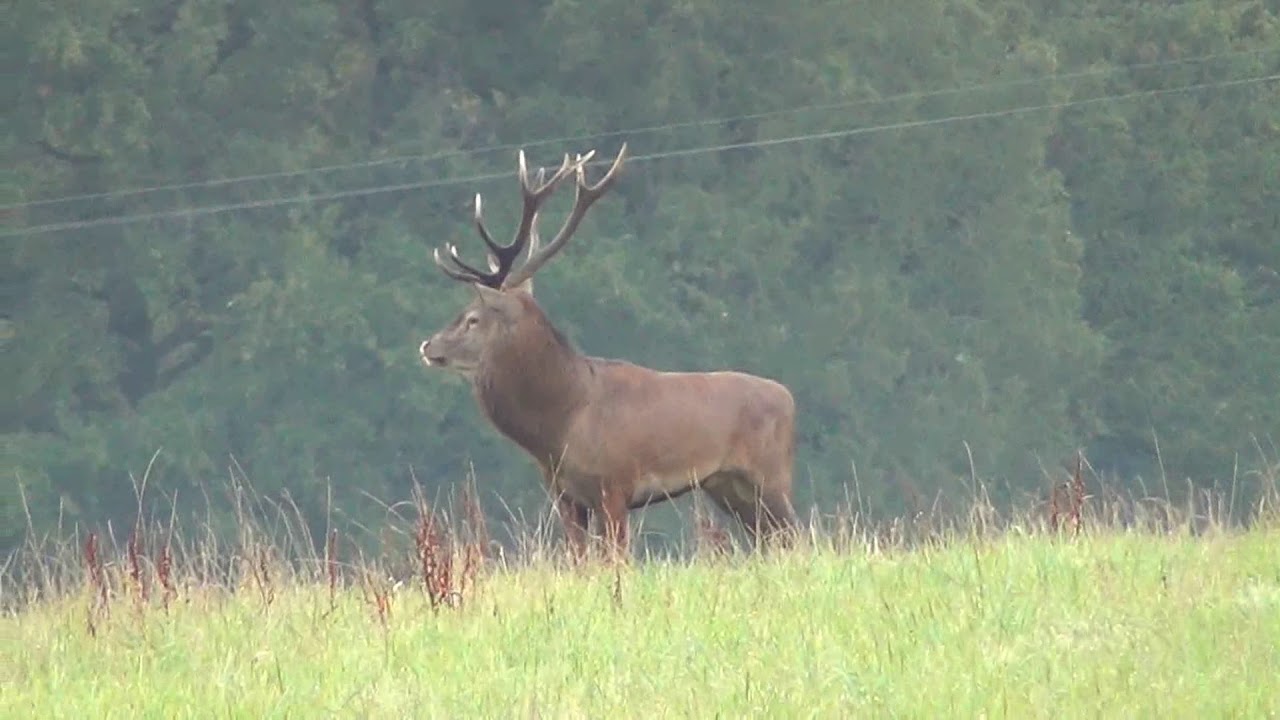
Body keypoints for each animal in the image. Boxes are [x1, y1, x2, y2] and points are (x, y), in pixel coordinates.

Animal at [418, 143, 798, 561]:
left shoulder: (615, 484)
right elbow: (580, 560)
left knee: (796, 534)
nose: (428, 345)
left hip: (771, 474)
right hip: (727, 486)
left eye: (472, 318)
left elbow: (617, 559)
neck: (560, 425)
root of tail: (789, 398)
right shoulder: (565, 495)